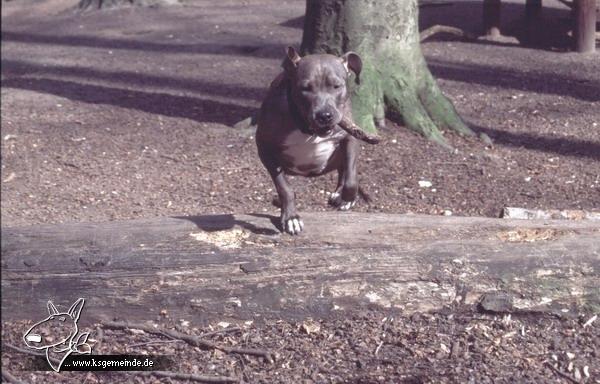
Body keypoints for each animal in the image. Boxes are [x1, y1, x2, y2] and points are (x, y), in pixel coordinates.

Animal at [255, 47, 364, 236]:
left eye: (336, 86)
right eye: (305, 88)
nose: (325, 115)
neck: (307, 129)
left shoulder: (350, 136)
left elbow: (351, 175)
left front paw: (347, 198)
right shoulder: (264, 148)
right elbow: (284, 187)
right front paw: (291, 218)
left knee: (343, 169)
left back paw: (339, 194)